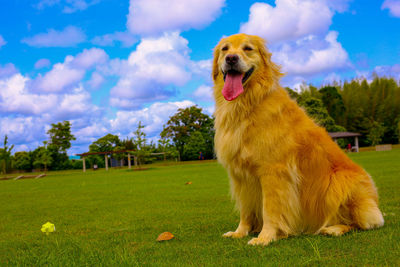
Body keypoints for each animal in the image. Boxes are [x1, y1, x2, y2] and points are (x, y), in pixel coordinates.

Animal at [212, 34, 384, 247]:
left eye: (247, 48)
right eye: (225, 49)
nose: (231, 59)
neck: (247, 104)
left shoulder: (273, 172)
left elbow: (270, 209)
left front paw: (265, 237)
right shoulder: (239, 176)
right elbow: (246, 210)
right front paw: (239, 232)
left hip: (340, 181)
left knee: (362, 223)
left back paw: (334, 229)